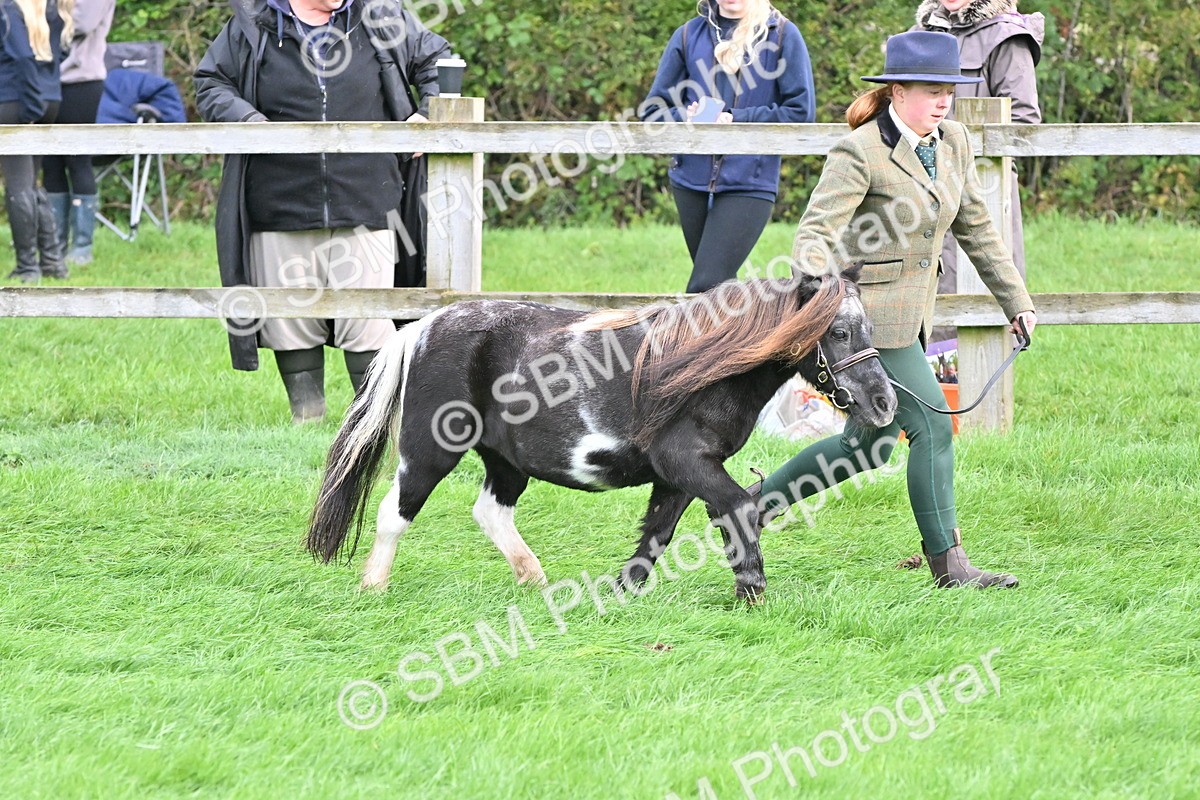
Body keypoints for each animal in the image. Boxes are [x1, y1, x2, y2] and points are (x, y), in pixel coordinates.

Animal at [306, 268, 897, 601]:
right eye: (838, 331)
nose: (884, 403)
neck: (704, 366)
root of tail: (421, 329)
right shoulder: (688, 462)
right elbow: (738, 508)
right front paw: (751, 589)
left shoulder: (677, 477)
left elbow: (657, 533)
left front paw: (621, 592)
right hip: (430, 451)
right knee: (394, 512)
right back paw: (373, 586)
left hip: (505, 460)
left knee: (491, 512)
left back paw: (534, 580)